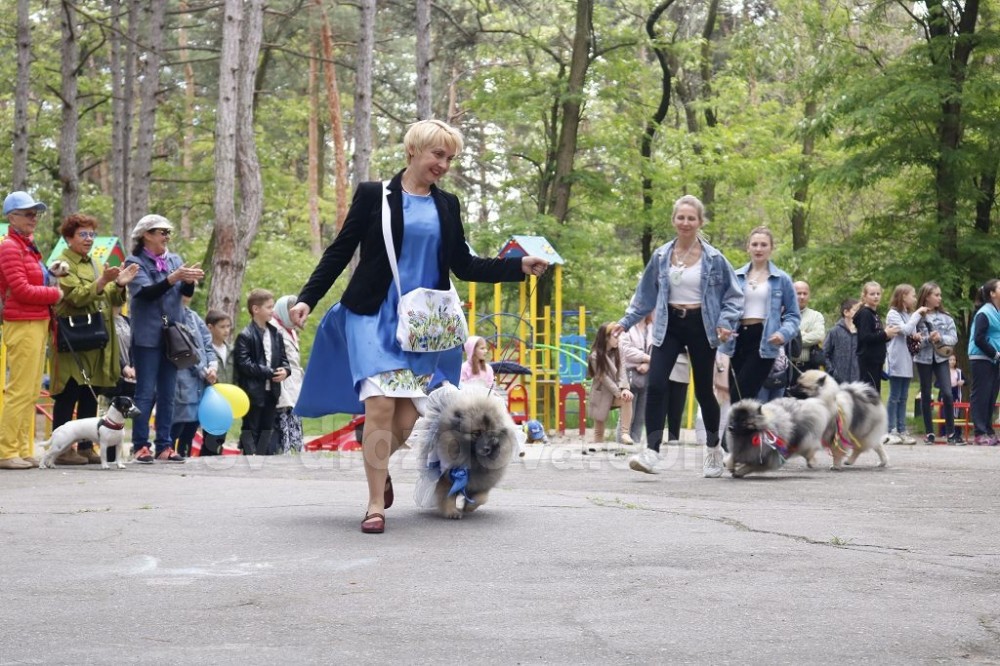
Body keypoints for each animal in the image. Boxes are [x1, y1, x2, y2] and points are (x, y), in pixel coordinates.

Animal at [408, 384, 516, 520]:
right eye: (476, 433)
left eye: (491, 435)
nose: (487, 448)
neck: (472, 458)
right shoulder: (447, 478)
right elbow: (448, 497)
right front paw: (452, 512)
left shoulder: (483, 481)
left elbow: (481, 497)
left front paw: (469, 507)